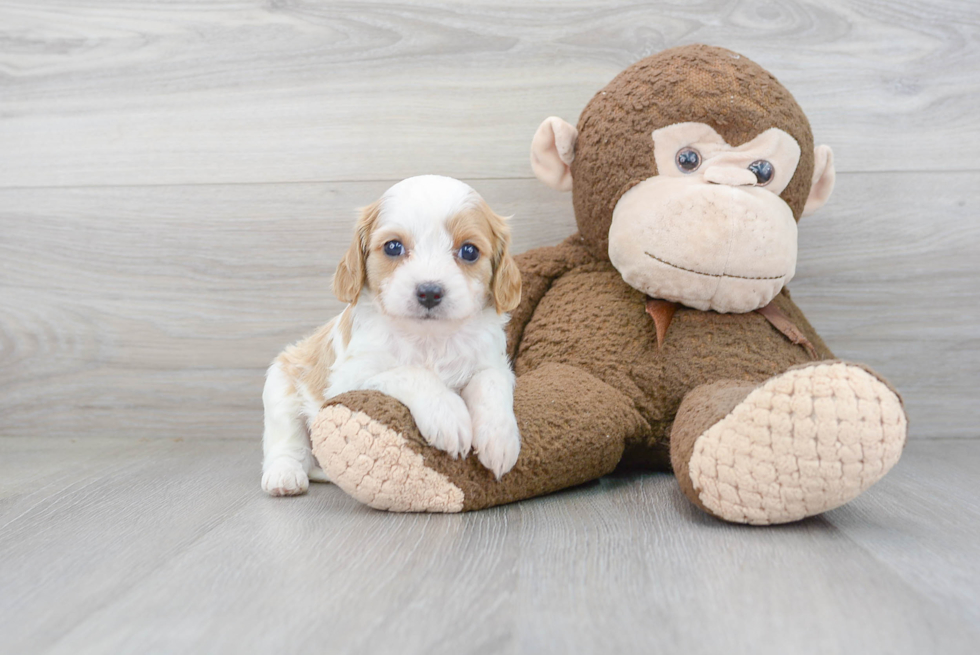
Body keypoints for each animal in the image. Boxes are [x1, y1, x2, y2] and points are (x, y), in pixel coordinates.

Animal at [258, 174, 520, 498]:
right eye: (394, 247)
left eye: (469, 251)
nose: (429, 291)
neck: (428, 339)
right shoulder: (348, 379)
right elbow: (410, 372)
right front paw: (447, 414)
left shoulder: (491, 361)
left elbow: (491, 382)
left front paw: (500, 439)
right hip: (281, 383)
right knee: (286, 441)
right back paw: (284, 476)